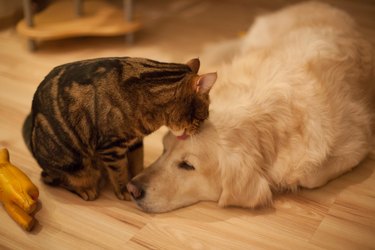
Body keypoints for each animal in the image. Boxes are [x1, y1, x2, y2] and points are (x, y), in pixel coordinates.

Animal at [22, 57, 217, 201]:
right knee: (63, 179)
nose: (198, 130)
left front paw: (137, 178)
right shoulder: (112, 148)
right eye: (202, 116)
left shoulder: (135, 142)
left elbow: (136, 162)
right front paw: (124, 190)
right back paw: (86, 189)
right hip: (74, 164)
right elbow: (120, 172)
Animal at [127, 2, 375, 213]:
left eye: (187, 165)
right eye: (164, 149)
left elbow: (311, 177)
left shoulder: (358, 142)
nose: (132, 188)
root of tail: (320, 4)